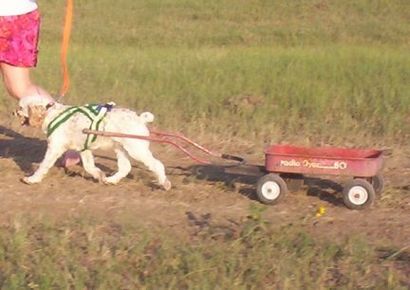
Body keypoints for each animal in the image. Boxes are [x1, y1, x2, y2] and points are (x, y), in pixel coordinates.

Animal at [15, 95, 171, 190]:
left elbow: (43, 165)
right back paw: (111, 180)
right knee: (125, 167)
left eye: (20, 107)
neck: (52, 113)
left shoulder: (54, 148)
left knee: (157, 164)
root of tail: (140, 118)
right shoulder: (84, 150)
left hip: (136, 149)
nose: (13, 112)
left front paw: (32, 179)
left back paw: (164, 183)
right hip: (120, 149)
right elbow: (90, 167)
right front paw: (100, 176)